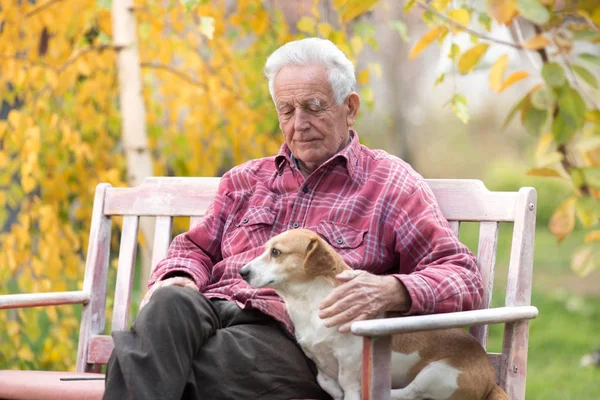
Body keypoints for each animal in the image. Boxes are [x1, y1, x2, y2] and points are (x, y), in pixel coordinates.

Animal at [239, 228, 506, 400]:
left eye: (276, 252)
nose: (242, 272)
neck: (308, 303)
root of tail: (491, 379)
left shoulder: (348, 359)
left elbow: (348, 384)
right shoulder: (319, 363)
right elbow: (326, 383)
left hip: (437, 374)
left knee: (407, 393)